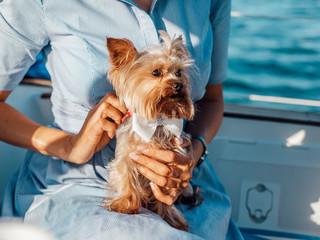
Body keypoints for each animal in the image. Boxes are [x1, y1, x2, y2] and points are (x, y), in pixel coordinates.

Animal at [104, 31, 201, 231]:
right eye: (156, 72)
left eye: (179, 72)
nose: (179, 84)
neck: (158, 121)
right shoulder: (126, 156)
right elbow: (126, 178)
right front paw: (125, 205)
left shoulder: (172, 165)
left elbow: (165, 192)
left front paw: (169, 215)